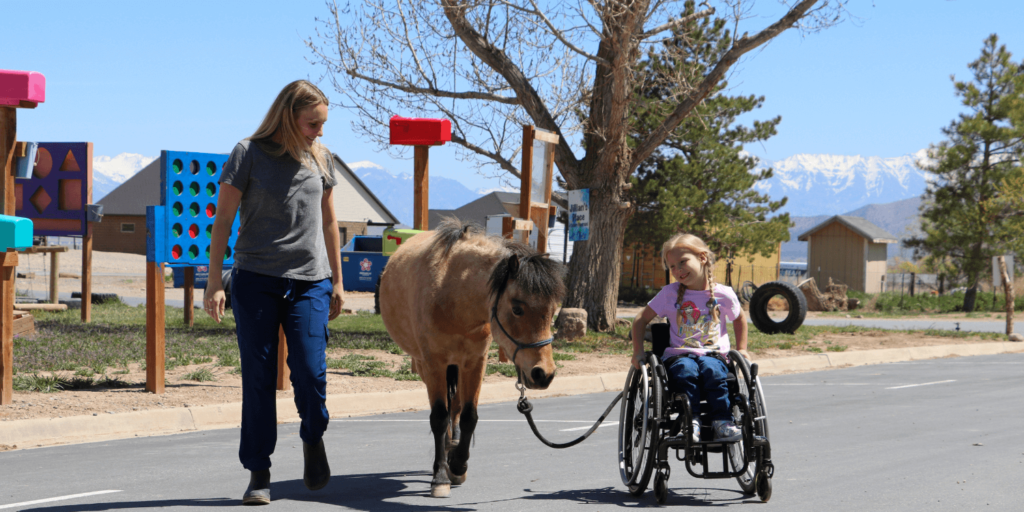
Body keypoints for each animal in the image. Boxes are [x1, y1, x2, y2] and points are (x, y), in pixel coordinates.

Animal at [379, 218, 566, 498]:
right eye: (517, 309)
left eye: (553, 311)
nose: (543, 374)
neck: (451, 292)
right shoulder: (434, 363)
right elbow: (438, 417)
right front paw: (441, 476)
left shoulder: (475, 362)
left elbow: (468, 415)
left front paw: (458, 465)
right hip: (426, 366)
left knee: (455, 405)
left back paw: (453, 444)